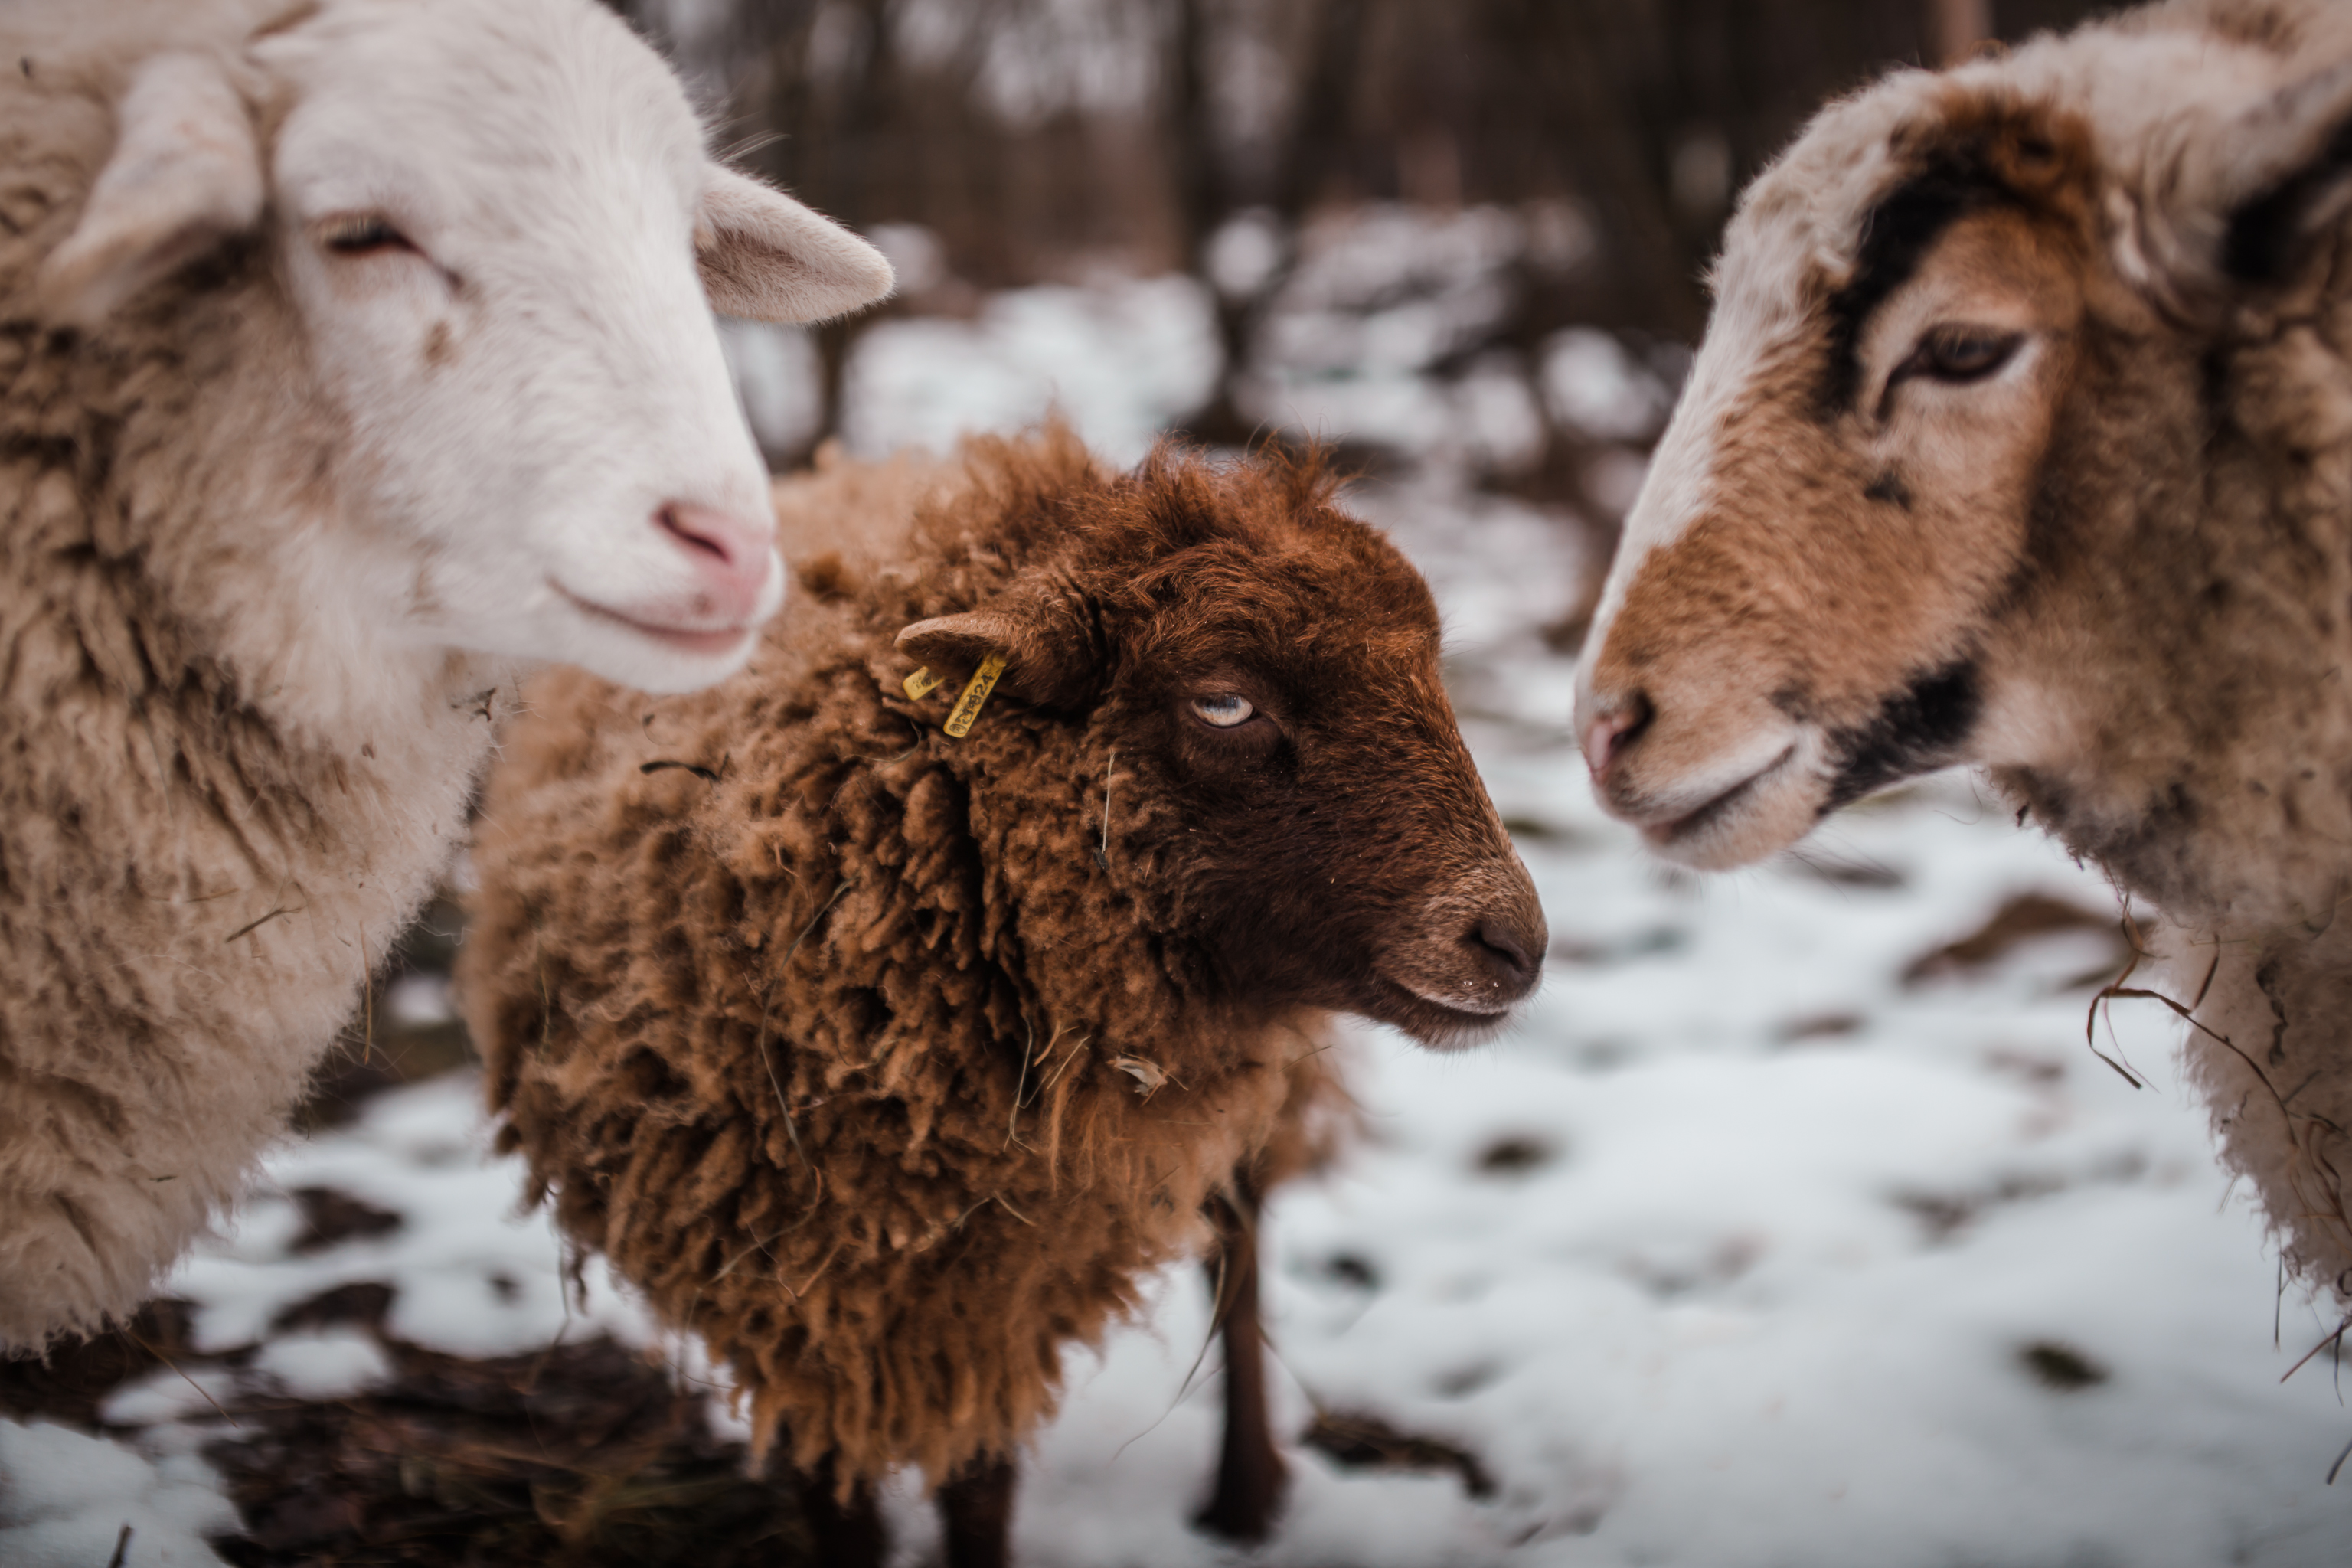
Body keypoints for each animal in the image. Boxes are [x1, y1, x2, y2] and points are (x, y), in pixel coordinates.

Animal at [457, 425, 1548, 1566]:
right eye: (1225, 700)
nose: (1516, 943)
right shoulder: (798, 1301)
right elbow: (838, 1503)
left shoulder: (994, 1296)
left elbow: (981, 1493)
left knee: (1240, 1243)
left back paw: (1244, 1500)